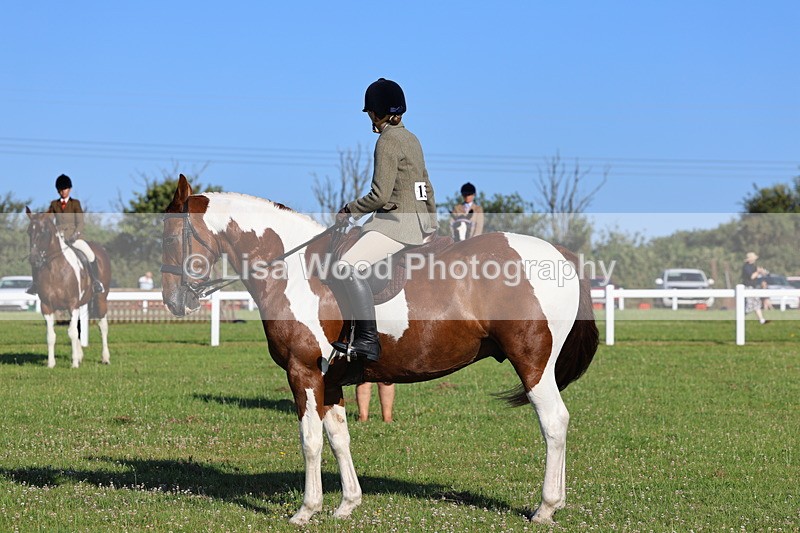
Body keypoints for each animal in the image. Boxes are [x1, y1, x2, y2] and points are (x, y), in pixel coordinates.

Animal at [25, 207, 111, 368]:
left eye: (44, 231)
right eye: (29, 231)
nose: (34, 259)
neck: (54, 269)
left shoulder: (73, 304)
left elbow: (71, 333)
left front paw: (74, 364)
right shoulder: (47, 307)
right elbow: (51, 335)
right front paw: (51, 364)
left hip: (100, 299)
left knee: (102, 326)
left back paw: (105, 358)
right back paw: (80, 355)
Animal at [161, 175, 598, 525]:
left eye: (167, 236)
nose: (172, 302)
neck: (294, 270)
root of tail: (561, 256)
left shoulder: (303, 372)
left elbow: (310, 440)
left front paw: (306, 510)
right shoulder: (331, 380)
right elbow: (339, 437)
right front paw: (346, 505)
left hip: (533, 364)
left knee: (554, 422)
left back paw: (545, 507)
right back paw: (556, 505)